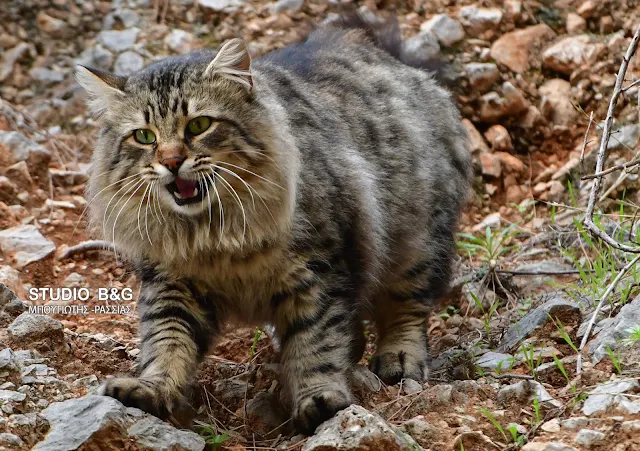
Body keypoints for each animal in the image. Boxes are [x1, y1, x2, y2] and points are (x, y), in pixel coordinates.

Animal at [77, 13, 472, 434]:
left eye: (199, 125)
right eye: (144, 136)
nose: (170, 161)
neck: (212, 236)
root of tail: (387, 56)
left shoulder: (320, 274)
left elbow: (316, 345)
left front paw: (318, 398)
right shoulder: (172, 284)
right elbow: (166, 344)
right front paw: (152, 389)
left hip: (417, 243)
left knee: (407, 307)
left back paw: (398, 357)